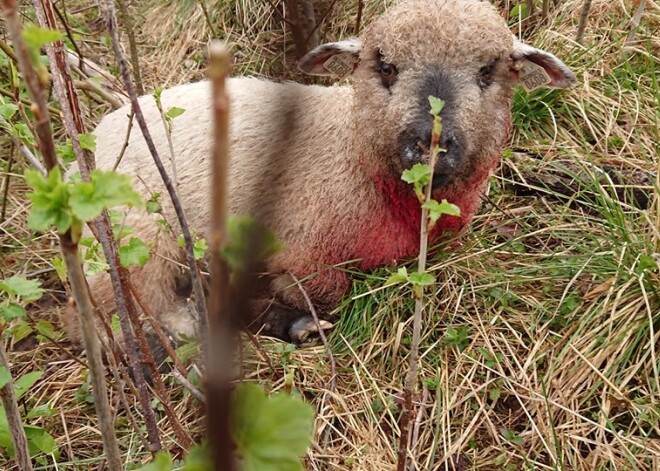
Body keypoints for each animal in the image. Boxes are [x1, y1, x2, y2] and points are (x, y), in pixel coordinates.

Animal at [63, 0, 576, 346]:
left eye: (489, 69)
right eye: (385, 66)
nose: (429, 144)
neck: (353, 153)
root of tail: (90, 141)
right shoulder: (302, 252)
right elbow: (329, 292)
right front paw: (291, 318)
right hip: (134, 241)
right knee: (117, 314)